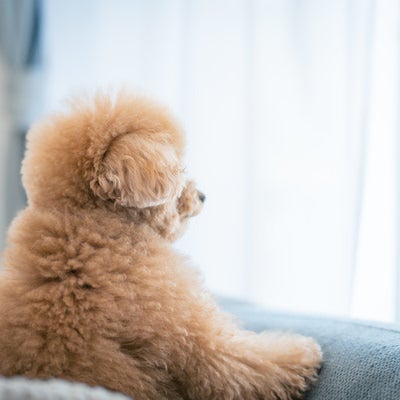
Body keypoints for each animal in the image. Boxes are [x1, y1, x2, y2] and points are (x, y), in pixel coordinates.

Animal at [0, 92, 322, 398]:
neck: (91, 222)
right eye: (178, 168)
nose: (202, 196)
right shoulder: (194, 335)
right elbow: (245, 362)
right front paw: (304, 353)